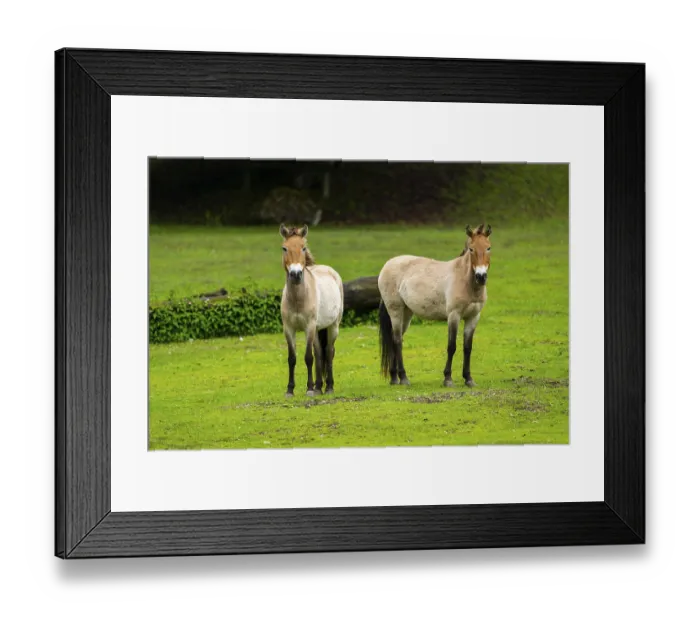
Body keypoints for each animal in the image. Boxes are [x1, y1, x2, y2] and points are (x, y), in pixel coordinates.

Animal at [279, 224, 344, 398]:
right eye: (284, 248)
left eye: (303, 248)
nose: (295, 274)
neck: (298, 298)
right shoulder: (289, 329)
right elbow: (292, 358)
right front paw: (290, 389)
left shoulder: (309, 326)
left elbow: (308, 357)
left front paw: (308, 388)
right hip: (316, 330)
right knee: (320, 354)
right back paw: (318, 387)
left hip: (333, 326)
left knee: (329, 352)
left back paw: (328, 387)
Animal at [377, 223, 492, 388]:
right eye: (471, 249)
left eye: (488, 247)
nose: (481, 277)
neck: (465, 281)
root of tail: (387, 265)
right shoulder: (454, 316)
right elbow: (452, 346)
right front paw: (448, 379)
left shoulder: (473, 317)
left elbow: (467, 347)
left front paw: (469, 379)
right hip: (395, 311)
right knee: (398, 341)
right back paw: (404, 378)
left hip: (407, 313)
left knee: (394, 339)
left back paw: (394, 378)